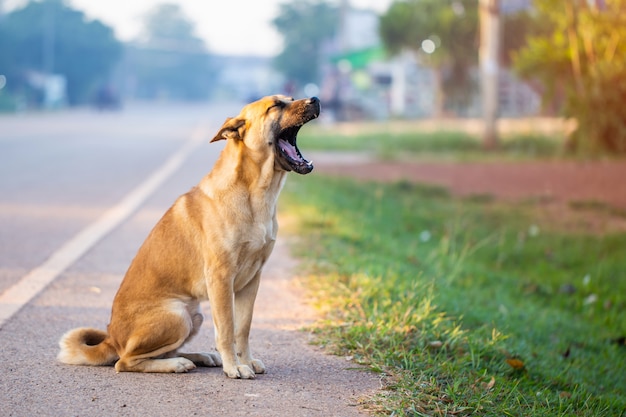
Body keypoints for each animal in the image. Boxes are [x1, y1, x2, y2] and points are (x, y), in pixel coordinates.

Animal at [58, 94, 320, 376]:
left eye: (290, 99)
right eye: (275, 106)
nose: (315, 99)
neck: (254, 193)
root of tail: (111, 338)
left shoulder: (252, 280)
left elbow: (243, 329)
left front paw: (245, 361)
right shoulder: (221, 278)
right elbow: (227, 330)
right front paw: (233, 367)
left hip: (195, 316)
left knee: (158, 352)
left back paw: (199, 357)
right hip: (178, 315)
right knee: (125, 362)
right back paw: (178, 364)